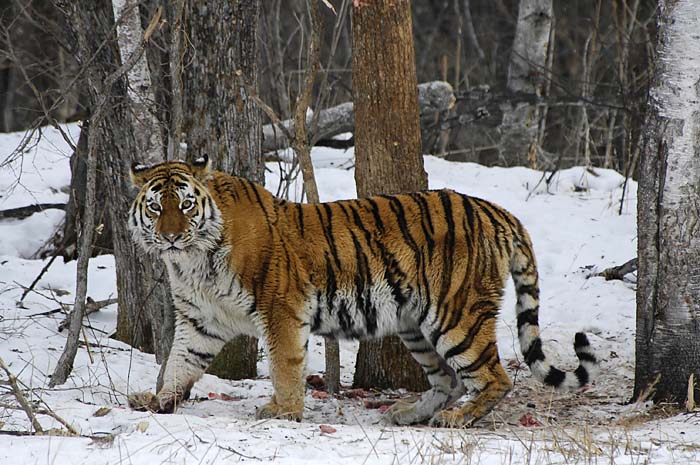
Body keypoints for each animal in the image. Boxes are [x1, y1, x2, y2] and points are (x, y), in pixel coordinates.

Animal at [126, 157, 596, 428]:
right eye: (156, 206)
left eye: (186, 205)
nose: (170, 236)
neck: (193, 261)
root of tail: (496, 210)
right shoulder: (199, 320)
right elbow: (178, 364)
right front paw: (158, 400)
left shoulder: (281, 310)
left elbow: (284, 366)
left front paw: (284, 412)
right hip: (415, 326)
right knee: (448, 379)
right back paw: (408, 413)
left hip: (456, 315)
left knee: (495, 378)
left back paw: (457, 419)